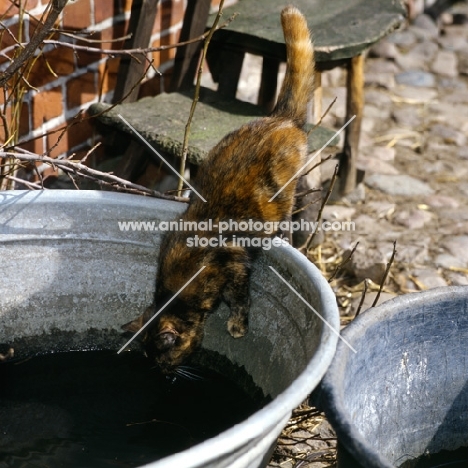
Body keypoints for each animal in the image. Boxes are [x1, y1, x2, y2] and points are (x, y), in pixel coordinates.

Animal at [123, 5, 314, 374]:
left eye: (164, 355)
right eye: (149, 357)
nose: (163, 373)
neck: (179, 284)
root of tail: (280, 118)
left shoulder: (235, 269)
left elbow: (240, 300)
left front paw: (237, 327)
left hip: (285, 195)